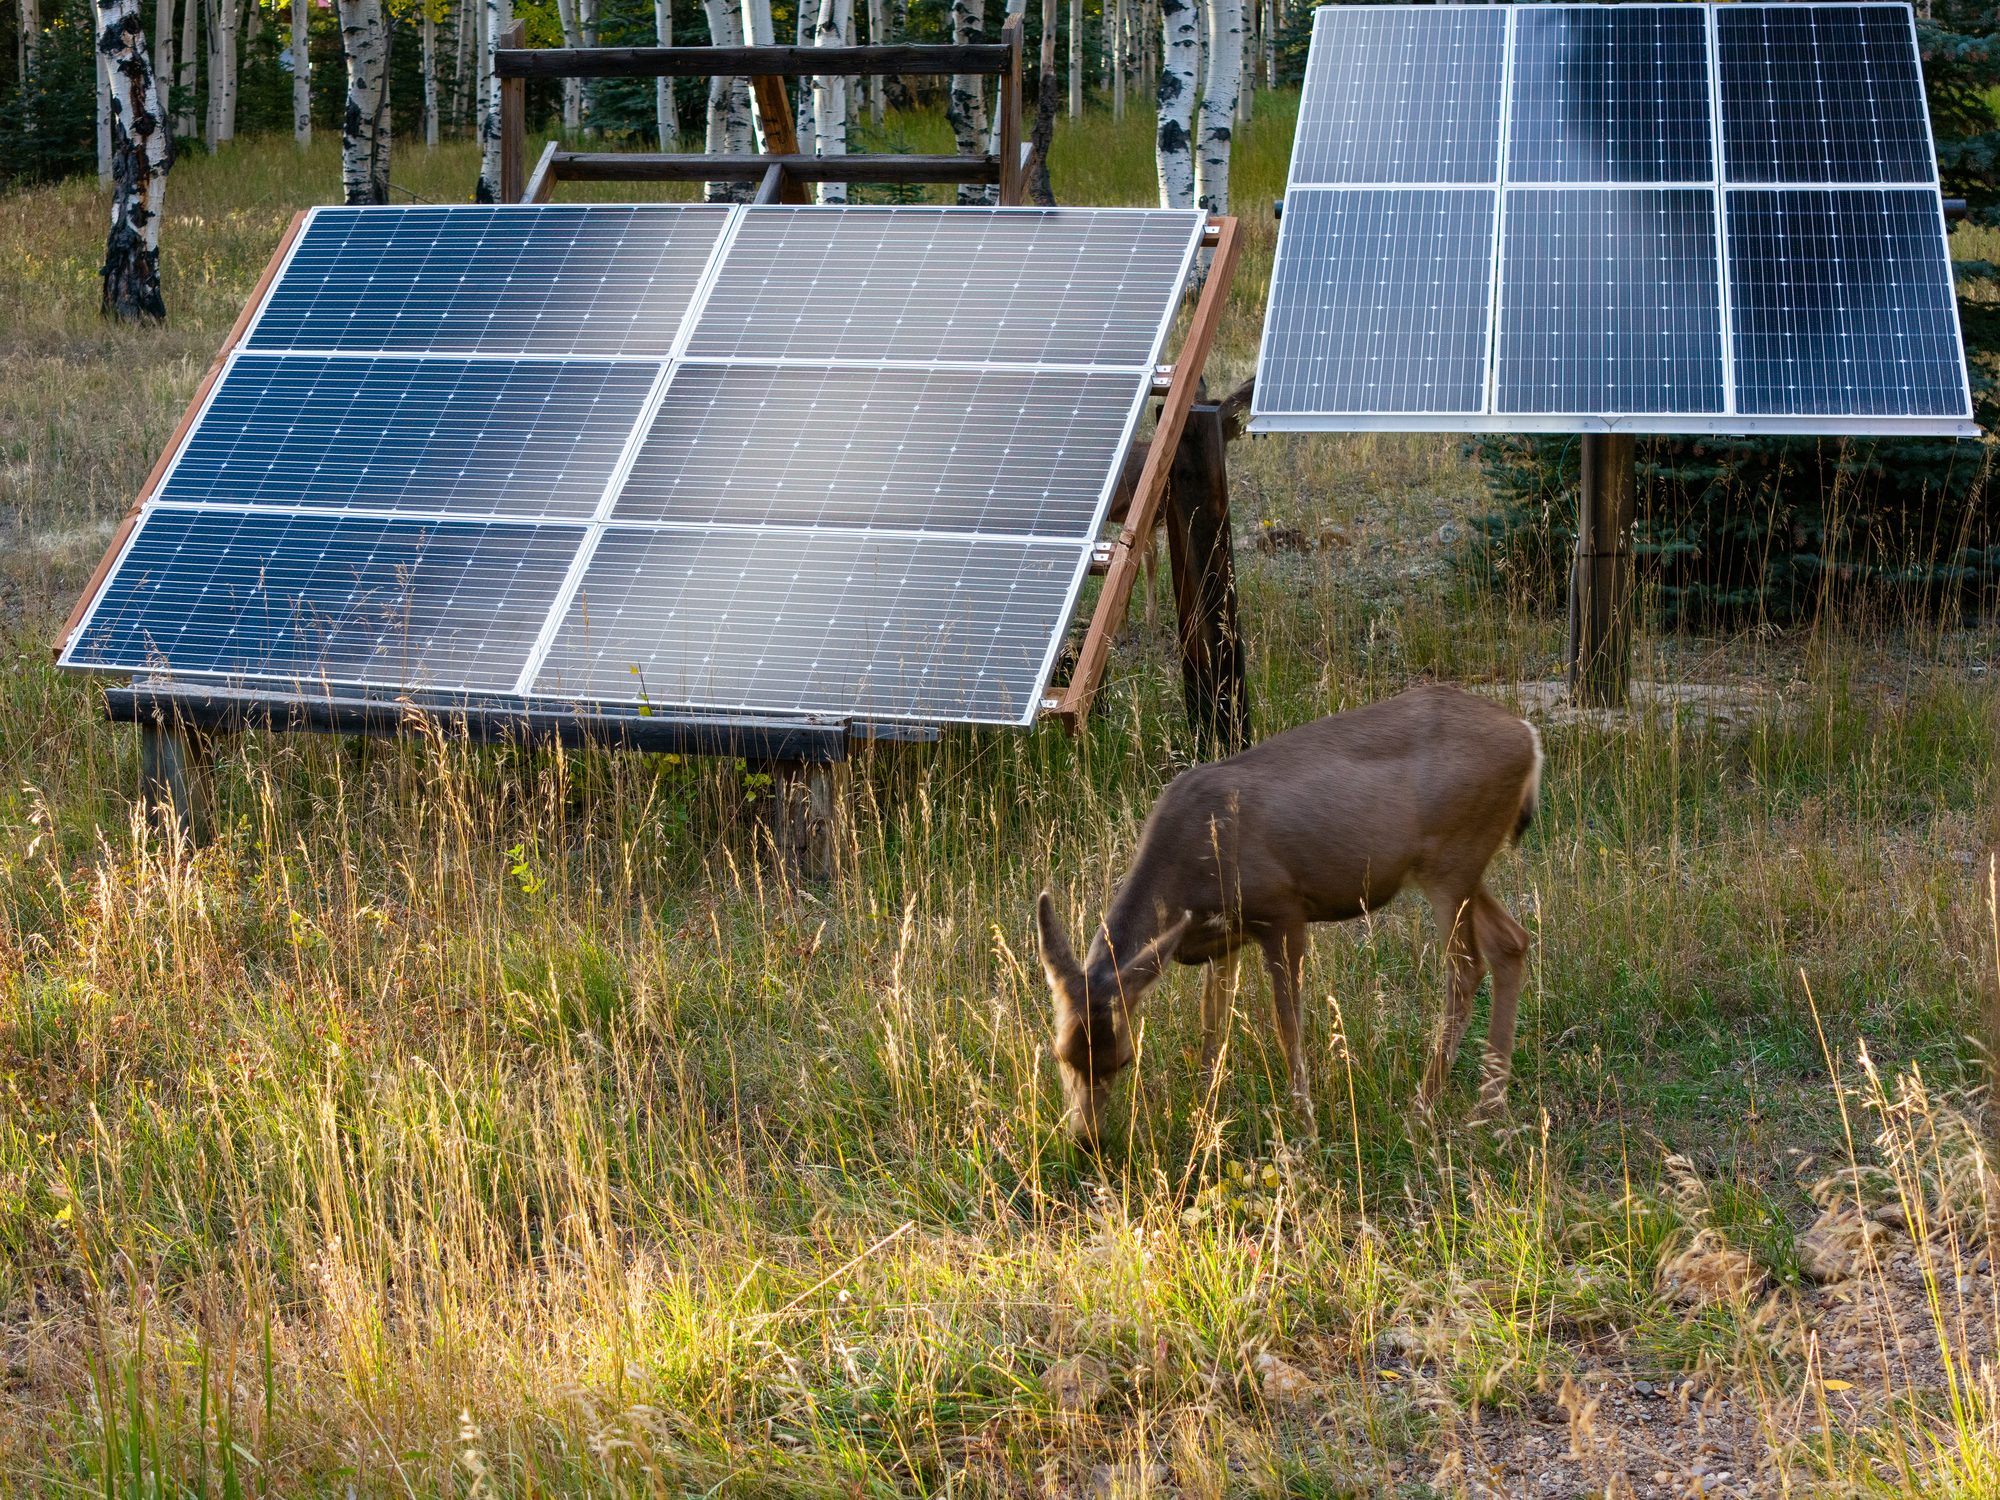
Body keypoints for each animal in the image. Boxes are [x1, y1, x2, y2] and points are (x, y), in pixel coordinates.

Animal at [1034, 684, 1543, 1148]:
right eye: (1061, 1055)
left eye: (1124, 1058)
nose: (1087, 1140)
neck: (1183, 867)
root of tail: (1529, 737)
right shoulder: (1224, 936)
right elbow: (1212, 1025)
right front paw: (1204, 1117)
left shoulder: (1283, 911)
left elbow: (1287, 1029)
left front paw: (1306, 1129)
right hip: (1460, 867)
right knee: (1511, 941)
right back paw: (1489, 1107)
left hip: (1452, 863)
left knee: (1466, 968)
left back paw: (1422, 1111)